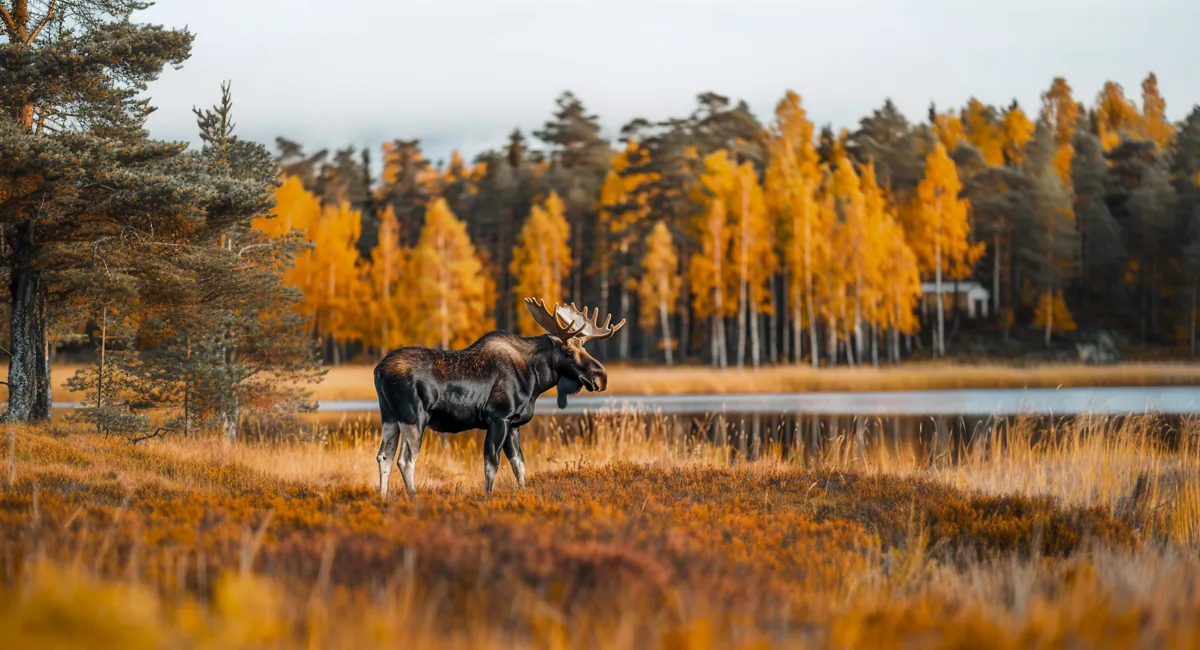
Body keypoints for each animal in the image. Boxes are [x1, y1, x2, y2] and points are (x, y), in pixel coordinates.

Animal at [372, 298, 625, 497]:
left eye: (584, 347)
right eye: (569, 351)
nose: (601, 377)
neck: (536, 380)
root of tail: (378, 370)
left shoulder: (514, 424)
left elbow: (519, 465)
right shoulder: (498, 418)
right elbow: (491, 464)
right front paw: (488, 498)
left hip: (389, 416)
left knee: (383, 457)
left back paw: (384, 499)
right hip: (414, 417)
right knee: (406, 460)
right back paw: (413, 497)